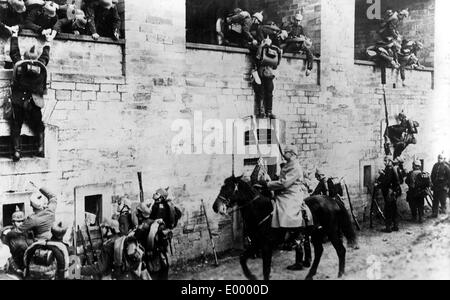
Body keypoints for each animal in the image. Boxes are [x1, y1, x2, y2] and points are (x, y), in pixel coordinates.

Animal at [213, 176, 356, 282]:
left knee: (340, 250)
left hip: (331, 232)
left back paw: (340, 274)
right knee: (319, 252)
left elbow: (266, 270)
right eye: (221, 187)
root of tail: (332, 200)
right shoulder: (256, 244)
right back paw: (310, 274)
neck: (261, 211)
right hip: (316, 234)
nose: (215, 206)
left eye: (228, 188)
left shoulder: (266, 246)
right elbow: (242, 259)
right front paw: (251, 276)